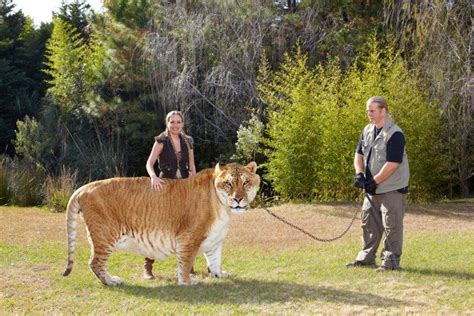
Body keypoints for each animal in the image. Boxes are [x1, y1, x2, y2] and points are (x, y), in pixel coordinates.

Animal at [62, 163, 260, 286]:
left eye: (245, 182)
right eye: (228, 184)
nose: (238, 199)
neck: (224, 208)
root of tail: (84, 187)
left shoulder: (214, 240)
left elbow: (215, 260)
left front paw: (219, 274)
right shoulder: (188, 237)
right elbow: (185, 262)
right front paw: (186, 282)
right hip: (105, 235)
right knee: (94, 263)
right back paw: (111, 281)